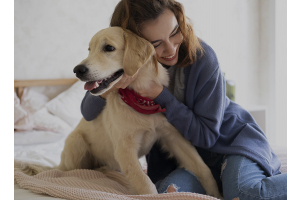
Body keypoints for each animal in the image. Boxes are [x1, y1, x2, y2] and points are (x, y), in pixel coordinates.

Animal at [19, 26, 223, 198]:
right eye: (89, 49)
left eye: (108, 48)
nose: (77, 70)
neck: (139, 98)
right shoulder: (125, 149)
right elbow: (145, 183)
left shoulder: (173, 136)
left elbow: (202, 168)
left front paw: (217, 194)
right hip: (76, 143)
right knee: (68, 171)